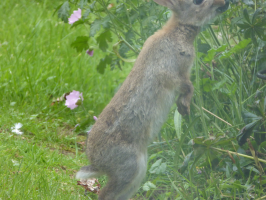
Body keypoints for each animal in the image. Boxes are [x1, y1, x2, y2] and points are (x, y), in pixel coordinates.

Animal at [76, 0, 229, 199]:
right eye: (197, 2)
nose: (224, 3)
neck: (179, 30)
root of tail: (97, 163)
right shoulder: (171, 73)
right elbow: (188, 87)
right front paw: (184, 108)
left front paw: (183, 108)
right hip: (130, 165)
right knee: (107, 194)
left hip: (138, 170)